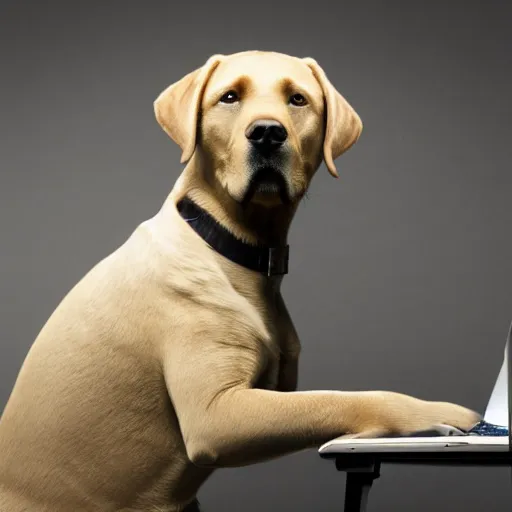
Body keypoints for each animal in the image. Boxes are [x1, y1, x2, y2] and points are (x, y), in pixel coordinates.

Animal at [0, 49, 480, 512]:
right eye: (229, 97)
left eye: (297, 99)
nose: (267, 133)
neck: (225, 244)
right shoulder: (216, 415)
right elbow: (346, 397)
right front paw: (437, 415)